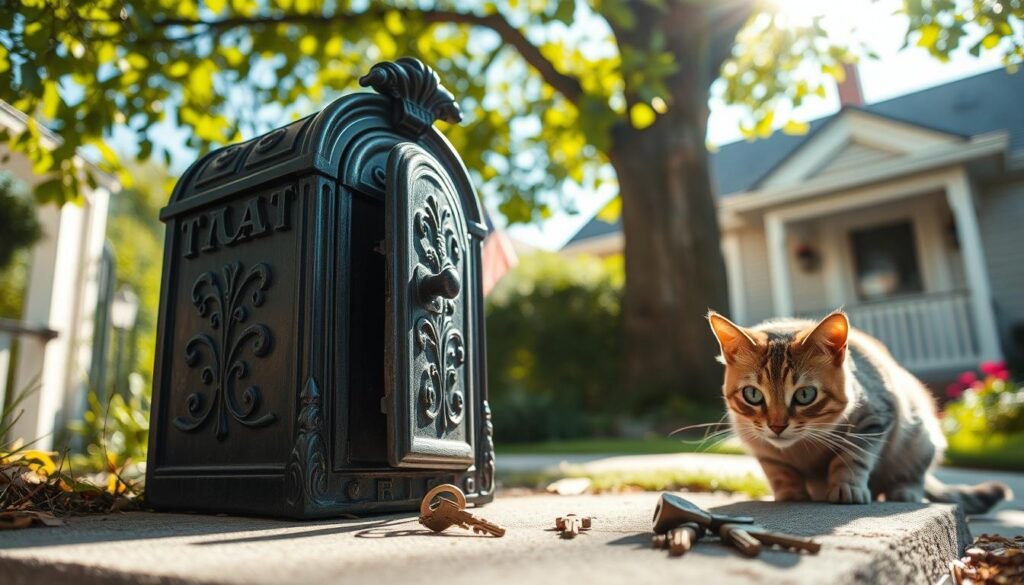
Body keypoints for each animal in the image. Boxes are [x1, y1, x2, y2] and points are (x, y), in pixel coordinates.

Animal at [708, 311, 1003, 512]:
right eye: (753, 395)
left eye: (805, 395)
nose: (777, 426)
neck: (801, 448)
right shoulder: (760, 445)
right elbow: (778, 469)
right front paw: (790, 492)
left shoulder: (875, 418)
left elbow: (852, 457)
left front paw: (846, 486)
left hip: (921, 439)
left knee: (914, 474)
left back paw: (904, 491)